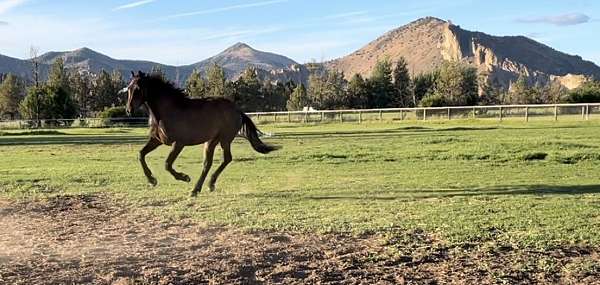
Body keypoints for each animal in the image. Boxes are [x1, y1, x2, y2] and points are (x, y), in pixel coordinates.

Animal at [124, 70, 278, 196]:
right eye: (128, 89)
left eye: (138, 89)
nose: (128, 110)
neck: (167, 112)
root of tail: (237, 110)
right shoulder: (157, 140)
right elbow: (140, 155)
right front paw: (152, 180)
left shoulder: (178, 143)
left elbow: (167, 164)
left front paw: (184, 177)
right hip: (211, 142)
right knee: (207, 164)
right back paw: (198, 189)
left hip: (224, 139)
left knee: (226, 159)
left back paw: (207, 185)